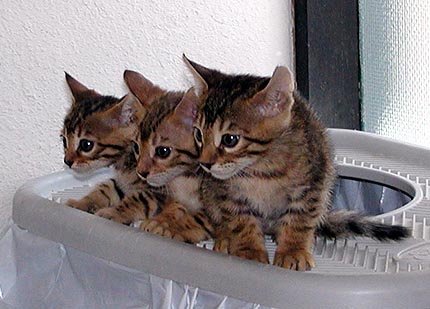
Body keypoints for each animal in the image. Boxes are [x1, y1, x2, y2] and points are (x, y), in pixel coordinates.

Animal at [182, 57, 410, 270]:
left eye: (230, 140)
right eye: (198, 135)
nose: (204, 163)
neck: (259, 169)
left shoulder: (312, 186)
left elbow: (299, 221)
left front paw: (293, 250)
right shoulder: (228, 194)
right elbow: (241, 222)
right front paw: (249, 250)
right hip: (209, 191)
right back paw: (225, 238)